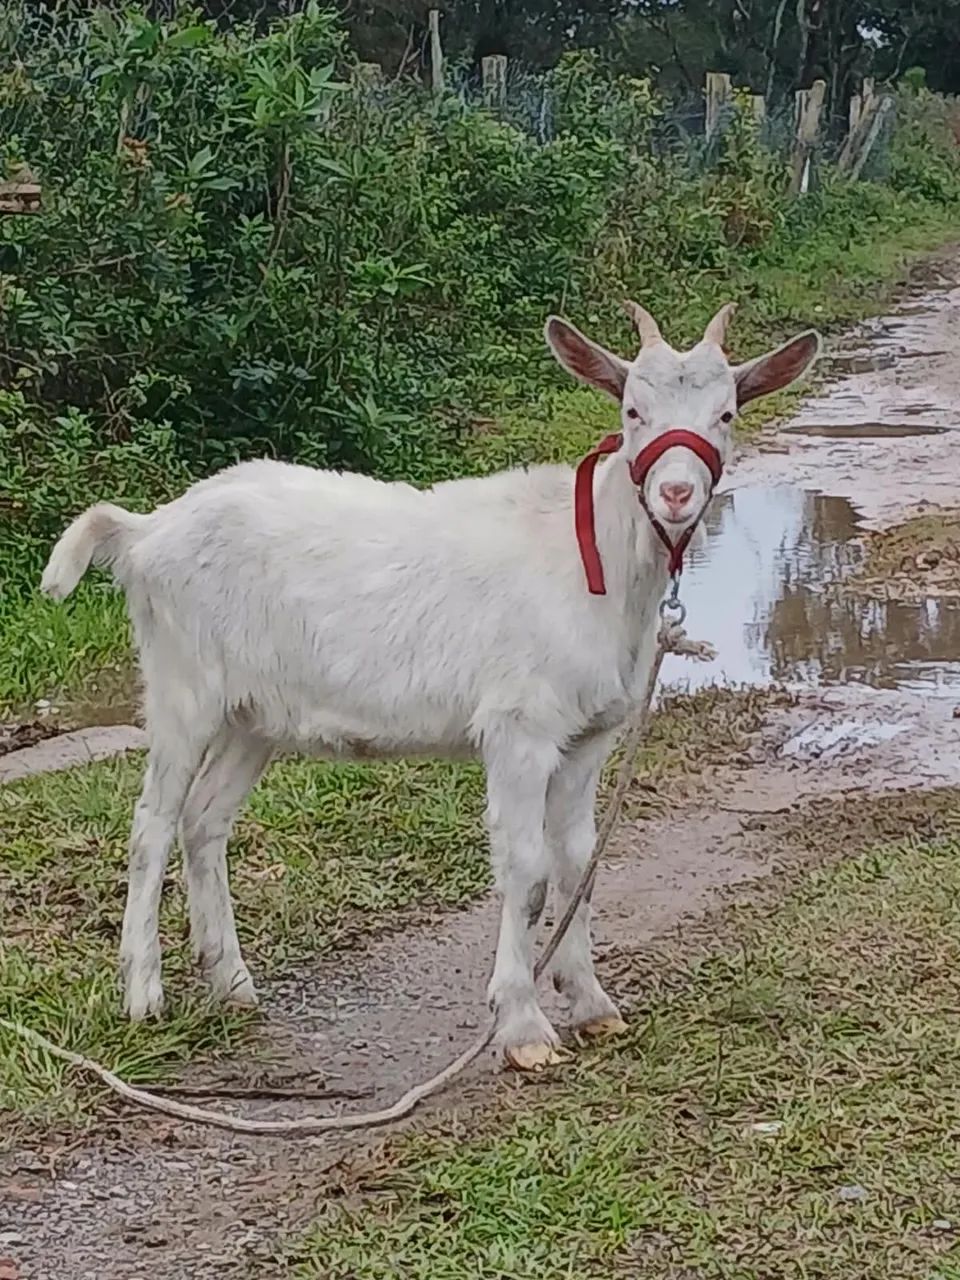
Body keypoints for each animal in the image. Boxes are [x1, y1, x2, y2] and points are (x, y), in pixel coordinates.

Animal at [41, 303, 819, 1070]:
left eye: (726, 413)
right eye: (632, 410)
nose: (677, 492)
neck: (594, 557)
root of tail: (146, 532)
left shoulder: (589, 737)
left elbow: (580, 864)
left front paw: (592, 1003)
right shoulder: (518, 729)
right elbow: (529, 871)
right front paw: (522, 1025)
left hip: (252, 714)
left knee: (205, 820)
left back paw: (231, 983)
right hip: (184, 685)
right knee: (152, 822)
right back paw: (144, 993)